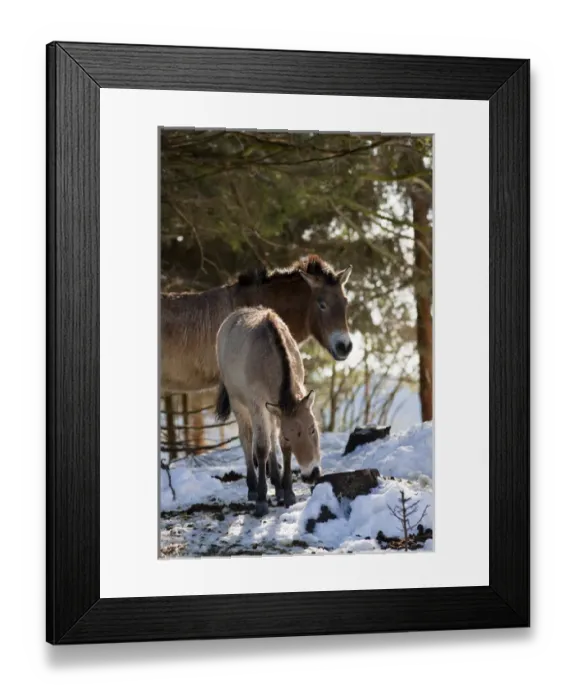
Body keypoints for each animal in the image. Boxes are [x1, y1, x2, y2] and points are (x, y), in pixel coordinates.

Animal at [215, 307, 322, 517]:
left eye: (312, 429)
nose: (311, 473)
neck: (268, 356)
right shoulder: (257, 405)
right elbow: (262, 448)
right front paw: (262, 500)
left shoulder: (277, 409)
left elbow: (281, 446)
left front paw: (287, 492)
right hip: (239, 405)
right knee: (247, 439)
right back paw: (253, 487)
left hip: (270, 412)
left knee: (271, 436)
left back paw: (277, 485)